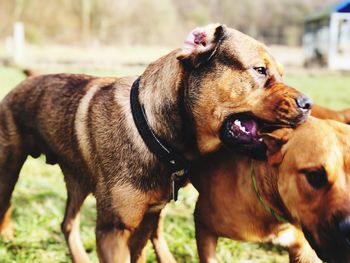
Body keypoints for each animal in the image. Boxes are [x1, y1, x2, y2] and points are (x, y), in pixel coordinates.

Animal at [0, 23, 308, 262]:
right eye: (259, 70)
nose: (308, 104)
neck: (152, 130)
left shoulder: (147, 218)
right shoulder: (112, 230)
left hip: (78, 178)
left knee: (68, 223)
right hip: (10, 168)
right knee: (9, 204)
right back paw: (7, 234)